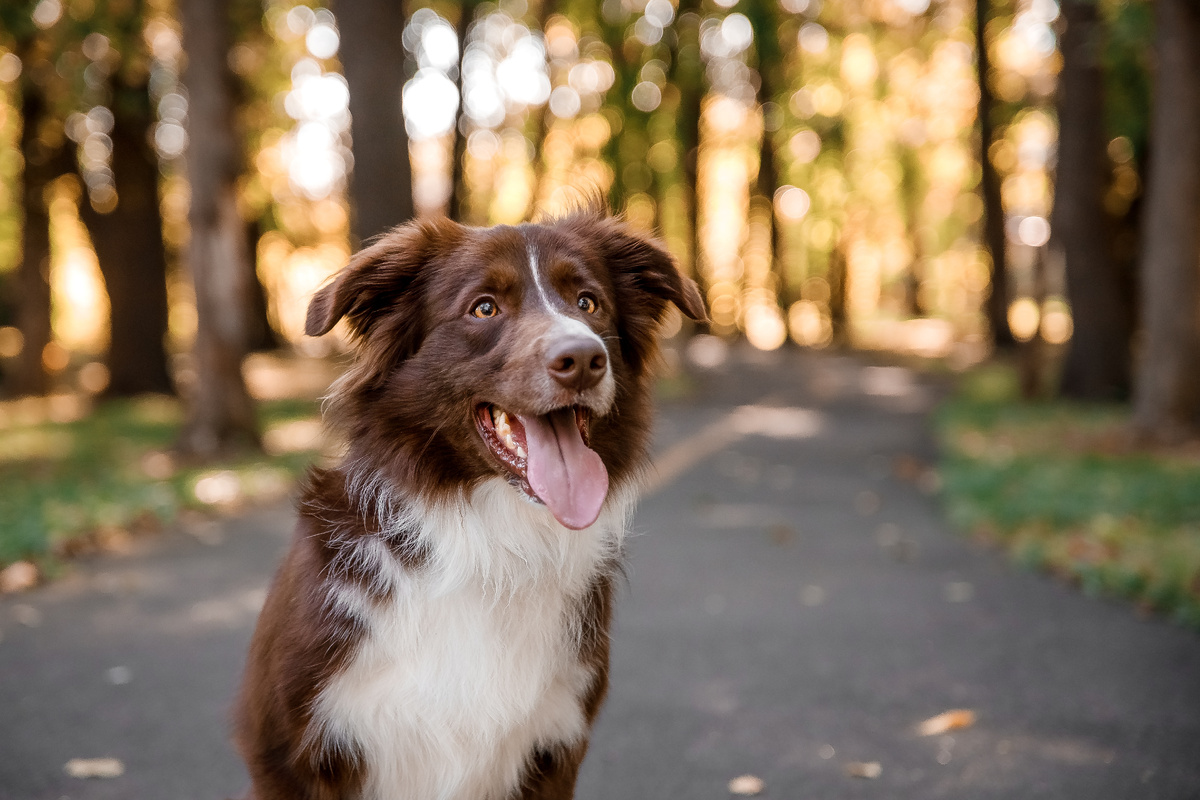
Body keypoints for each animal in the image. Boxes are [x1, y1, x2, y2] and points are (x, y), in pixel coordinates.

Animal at [234, 208, 700, 800]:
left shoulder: (555, 744)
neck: (491, 542)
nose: (583, 359)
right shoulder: (293, 752)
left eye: (588, 302)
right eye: (484, 307)